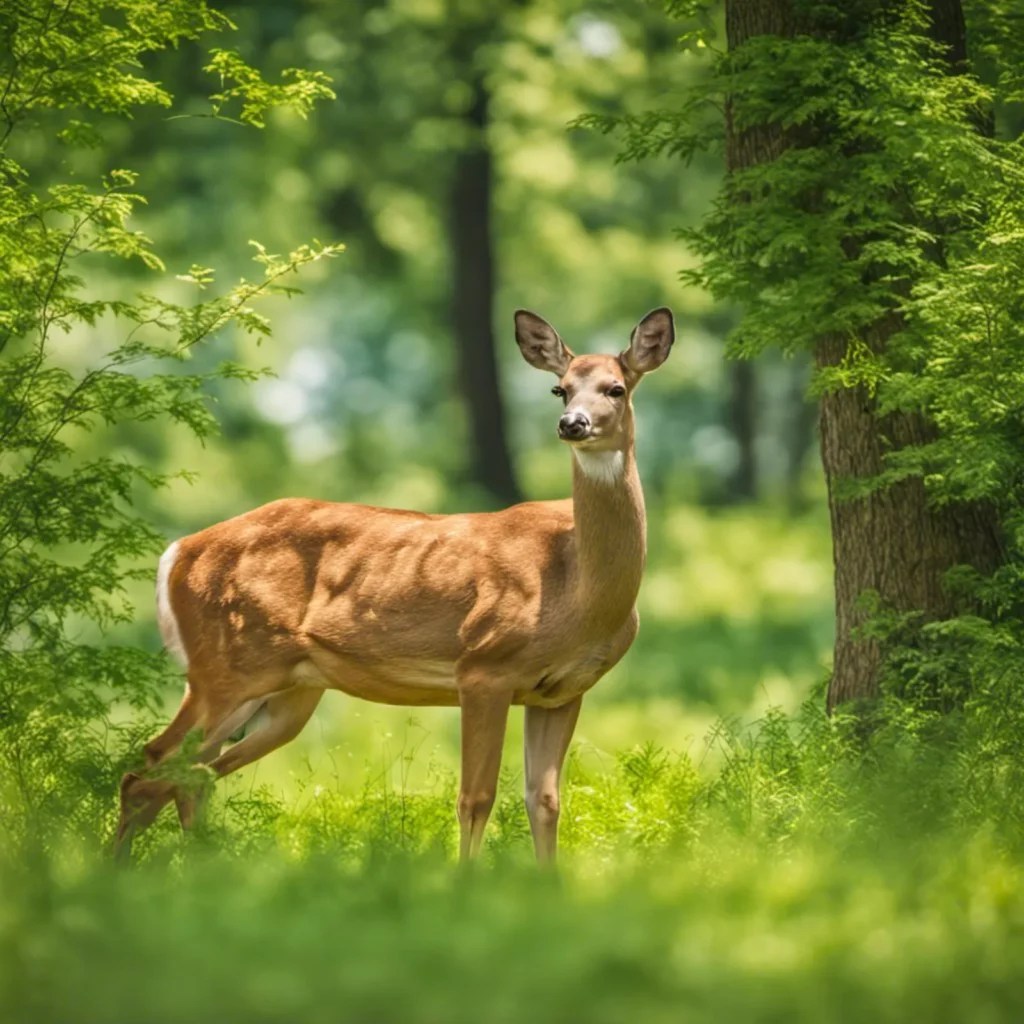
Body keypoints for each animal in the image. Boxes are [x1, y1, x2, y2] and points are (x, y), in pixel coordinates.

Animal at [115, 307, 674, 863]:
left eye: (616, 388)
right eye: (560, 388)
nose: (572, 423)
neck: (575, 587)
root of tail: (177, 552)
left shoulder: (559, 691)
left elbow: (545, 800)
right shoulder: (483, 668)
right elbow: (475, 798)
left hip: (285, 692)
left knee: (190, 776)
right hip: (222, 668)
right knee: (148, 768)